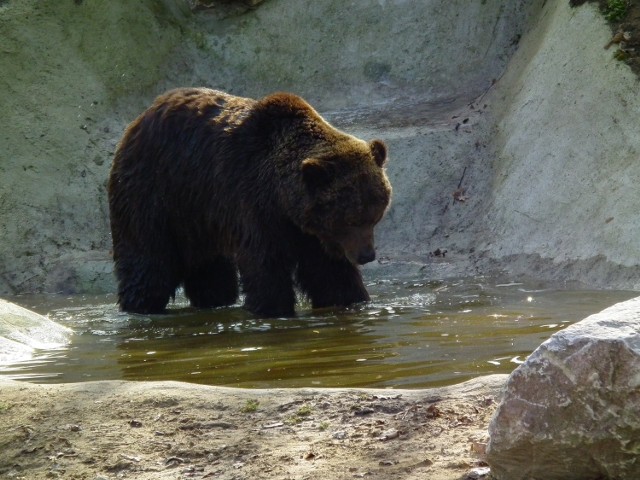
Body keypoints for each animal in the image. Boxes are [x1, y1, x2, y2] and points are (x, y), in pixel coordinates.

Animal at [106, 88, 390, 316]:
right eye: (350, 220)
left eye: (374, 216)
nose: (367, 255)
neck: (284, 201)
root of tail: (136, 123)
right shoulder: (252, 200)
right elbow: (264, 261)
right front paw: (272, 307)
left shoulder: (313, 234)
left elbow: (329, 271)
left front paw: (351, 298)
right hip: (155, 191)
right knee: (148, 260)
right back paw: (140, 304)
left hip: (199, 215)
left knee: (212, 272)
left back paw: (213, 299)